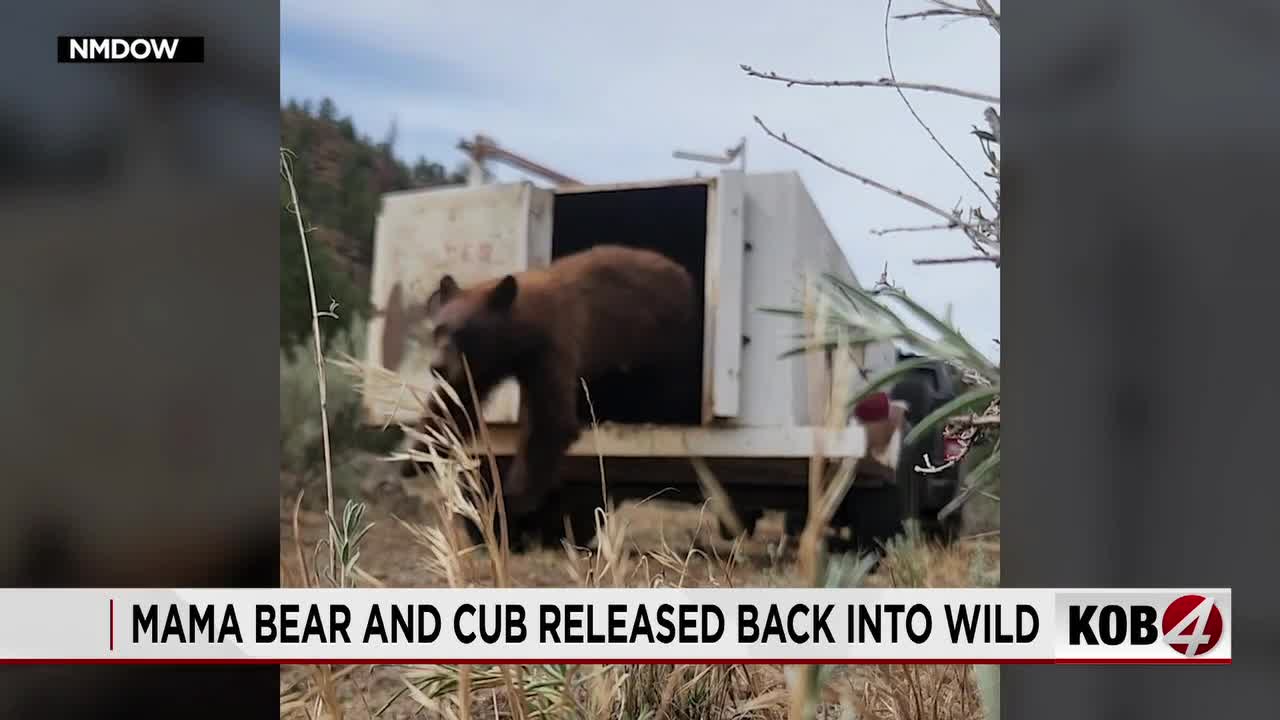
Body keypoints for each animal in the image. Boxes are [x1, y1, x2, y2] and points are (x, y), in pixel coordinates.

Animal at [405, 244, 700, 528]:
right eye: (439, 329)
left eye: (465, 333)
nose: (437, 367)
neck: (522, 336)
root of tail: (681, 273)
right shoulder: (487, 363)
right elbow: (456, 401)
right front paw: (416, 458)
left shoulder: (552, 348)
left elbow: (550, 421)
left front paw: (515, 499)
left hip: (663, 341)